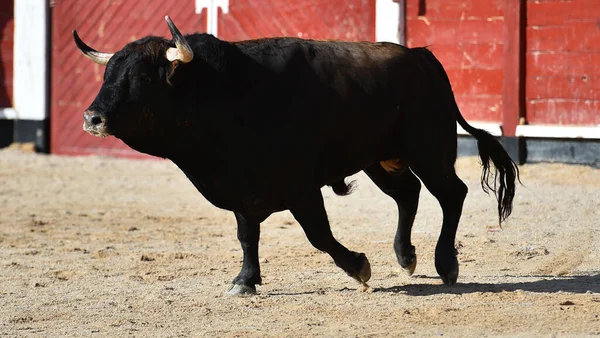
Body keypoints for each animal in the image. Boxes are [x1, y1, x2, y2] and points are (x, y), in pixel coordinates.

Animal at [74, 16, 516, 296]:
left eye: (142, 77)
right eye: (107, 74)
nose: (92, 118)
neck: (220, 92)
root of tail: (422, 56)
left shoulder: (301, 188)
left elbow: (318, 233)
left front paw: (359, 267)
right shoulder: (240, 188)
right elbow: (247, 236)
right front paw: (245, 281)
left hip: (428, 150)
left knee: (451, 194)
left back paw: (445, 264)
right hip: (380, 160)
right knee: (408, 194)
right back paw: (406, 257)